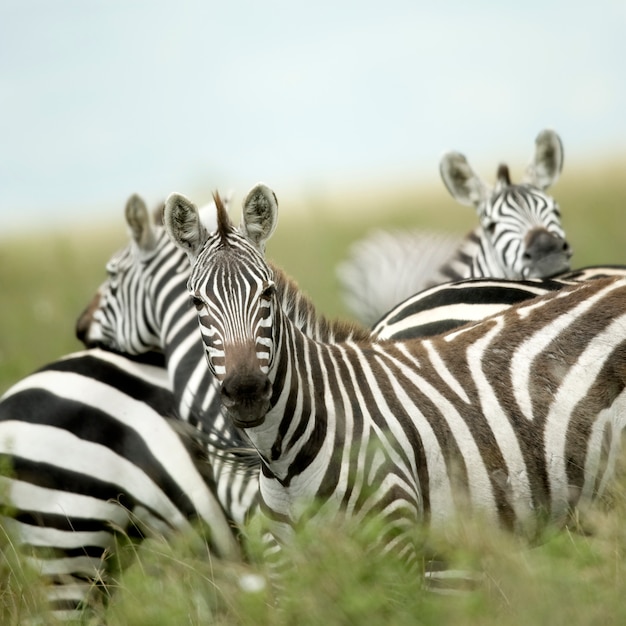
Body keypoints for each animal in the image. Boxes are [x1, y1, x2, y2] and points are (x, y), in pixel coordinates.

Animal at [163, 183, 624, 584]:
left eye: (268, 294)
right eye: (196, 302)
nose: (246, 393)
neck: (284, 459)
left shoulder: (398, 544)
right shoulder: (289, 570)